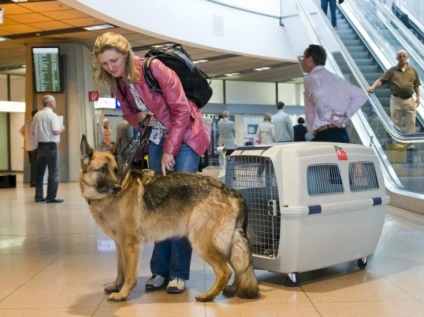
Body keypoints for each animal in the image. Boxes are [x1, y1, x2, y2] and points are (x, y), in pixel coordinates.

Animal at [79, 135, 258, 300]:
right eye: (102, 170)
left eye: (115, 170)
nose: (117, 188)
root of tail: (232, 192)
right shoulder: (119, 244)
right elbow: (120, 270)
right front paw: (117, 286)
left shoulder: (129, 245)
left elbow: (129, 274)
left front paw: (122, 293)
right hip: (226, 244)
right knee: (240, 267)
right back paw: (233, 289)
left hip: (201, 242)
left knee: (225, 271)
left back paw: (209, 295)